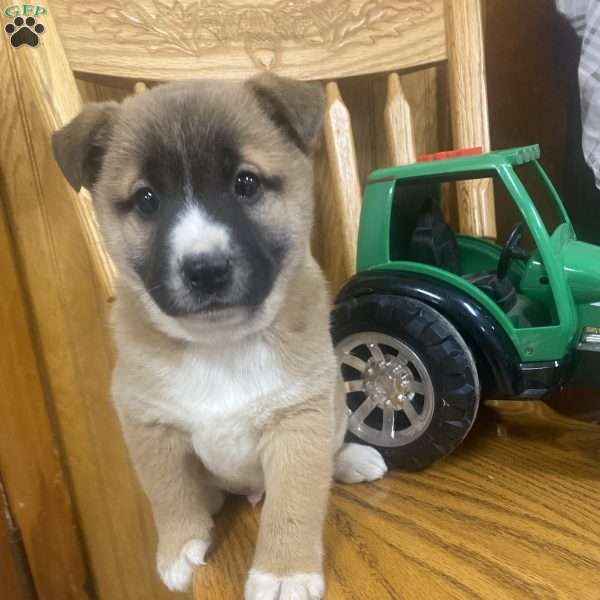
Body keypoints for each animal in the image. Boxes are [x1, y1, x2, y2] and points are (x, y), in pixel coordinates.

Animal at [51, 76, 384, 600]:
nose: (205, 269)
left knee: (330, 451)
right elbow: (169, 495)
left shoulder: (299, 421)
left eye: (245, 183)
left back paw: (350, 460)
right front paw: (179, 547)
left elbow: (294, 504)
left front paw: (284, 572)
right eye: (147, 199)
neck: (221, 344)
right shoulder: (150, 426)